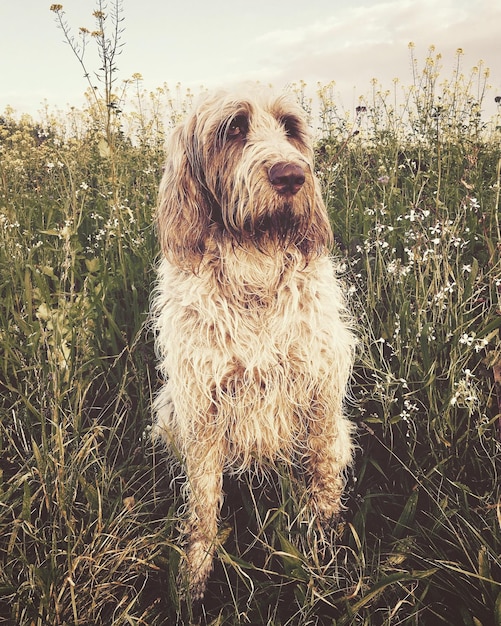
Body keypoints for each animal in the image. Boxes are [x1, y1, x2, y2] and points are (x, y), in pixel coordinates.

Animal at [152, 89, 356, 600]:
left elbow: (323, 473)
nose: (292, 176)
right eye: (235, 129)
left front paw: (324, 545)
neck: (254, 270)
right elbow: (203, 500)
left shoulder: (319, 389)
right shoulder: (202, 405)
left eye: (291, 128)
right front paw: (194, 576)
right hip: (168, 410)